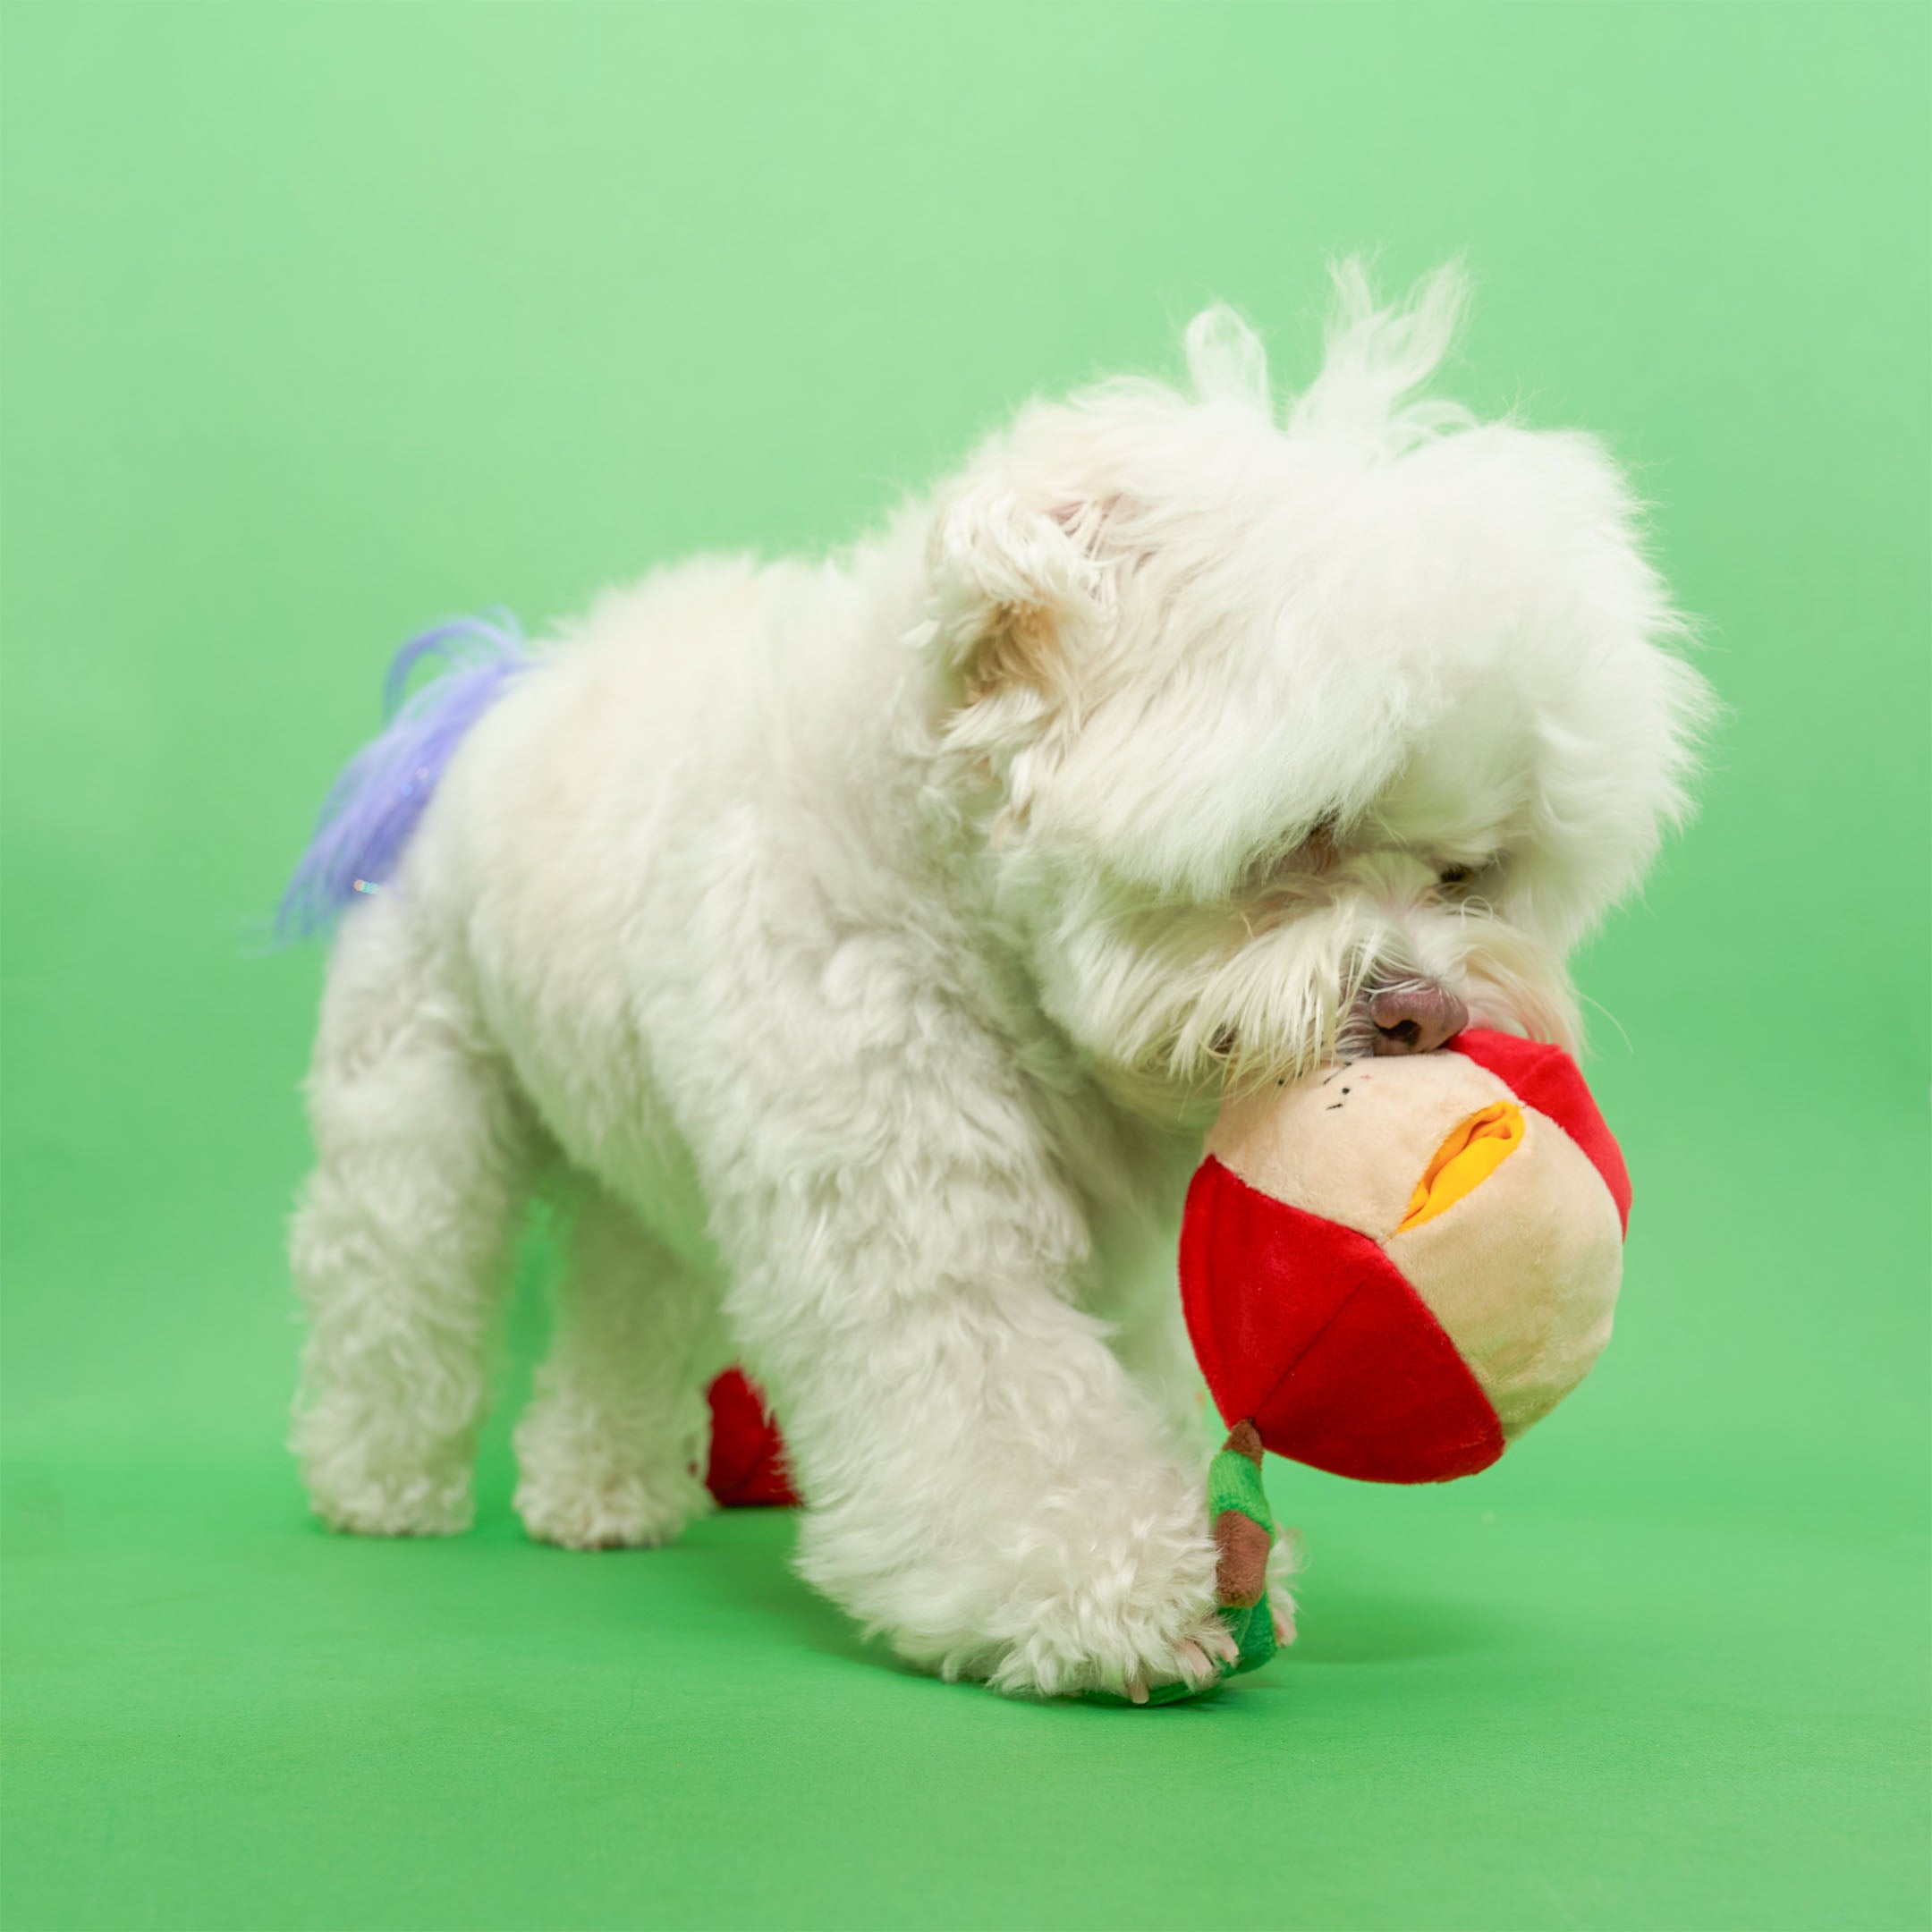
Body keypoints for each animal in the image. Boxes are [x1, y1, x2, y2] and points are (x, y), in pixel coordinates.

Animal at [285, 264, 1707, 1699]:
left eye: (1473, 872)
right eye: (1302, 834)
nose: (1430, 1011)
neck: (960, 913)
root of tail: (486, 698)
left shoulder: (1102, 1259)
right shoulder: (902, 1195)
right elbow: (999, 1403)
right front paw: (1125, 1588)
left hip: (638, 1143)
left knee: (630, 1290)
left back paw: (605, 1491)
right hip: (417, 1103)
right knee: (394, 1274)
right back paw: (380, 1480)